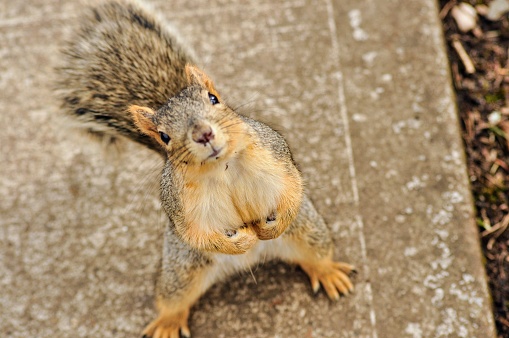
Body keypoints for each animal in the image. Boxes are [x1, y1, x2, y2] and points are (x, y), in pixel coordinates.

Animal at [55, 0, 356, 338]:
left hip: (309, 232)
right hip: (181, 270)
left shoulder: (276, 155)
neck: (220, 166)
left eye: (214, 98)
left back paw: (328, 272)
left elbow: (292, 187)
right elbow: (196, 232)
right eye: (164, 136)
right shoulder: (179, 205)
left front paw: (271, 226)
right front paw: (240, 240)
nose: (203, 133)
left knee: (315, 253)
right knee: (173, 299)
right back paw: (168, 323)